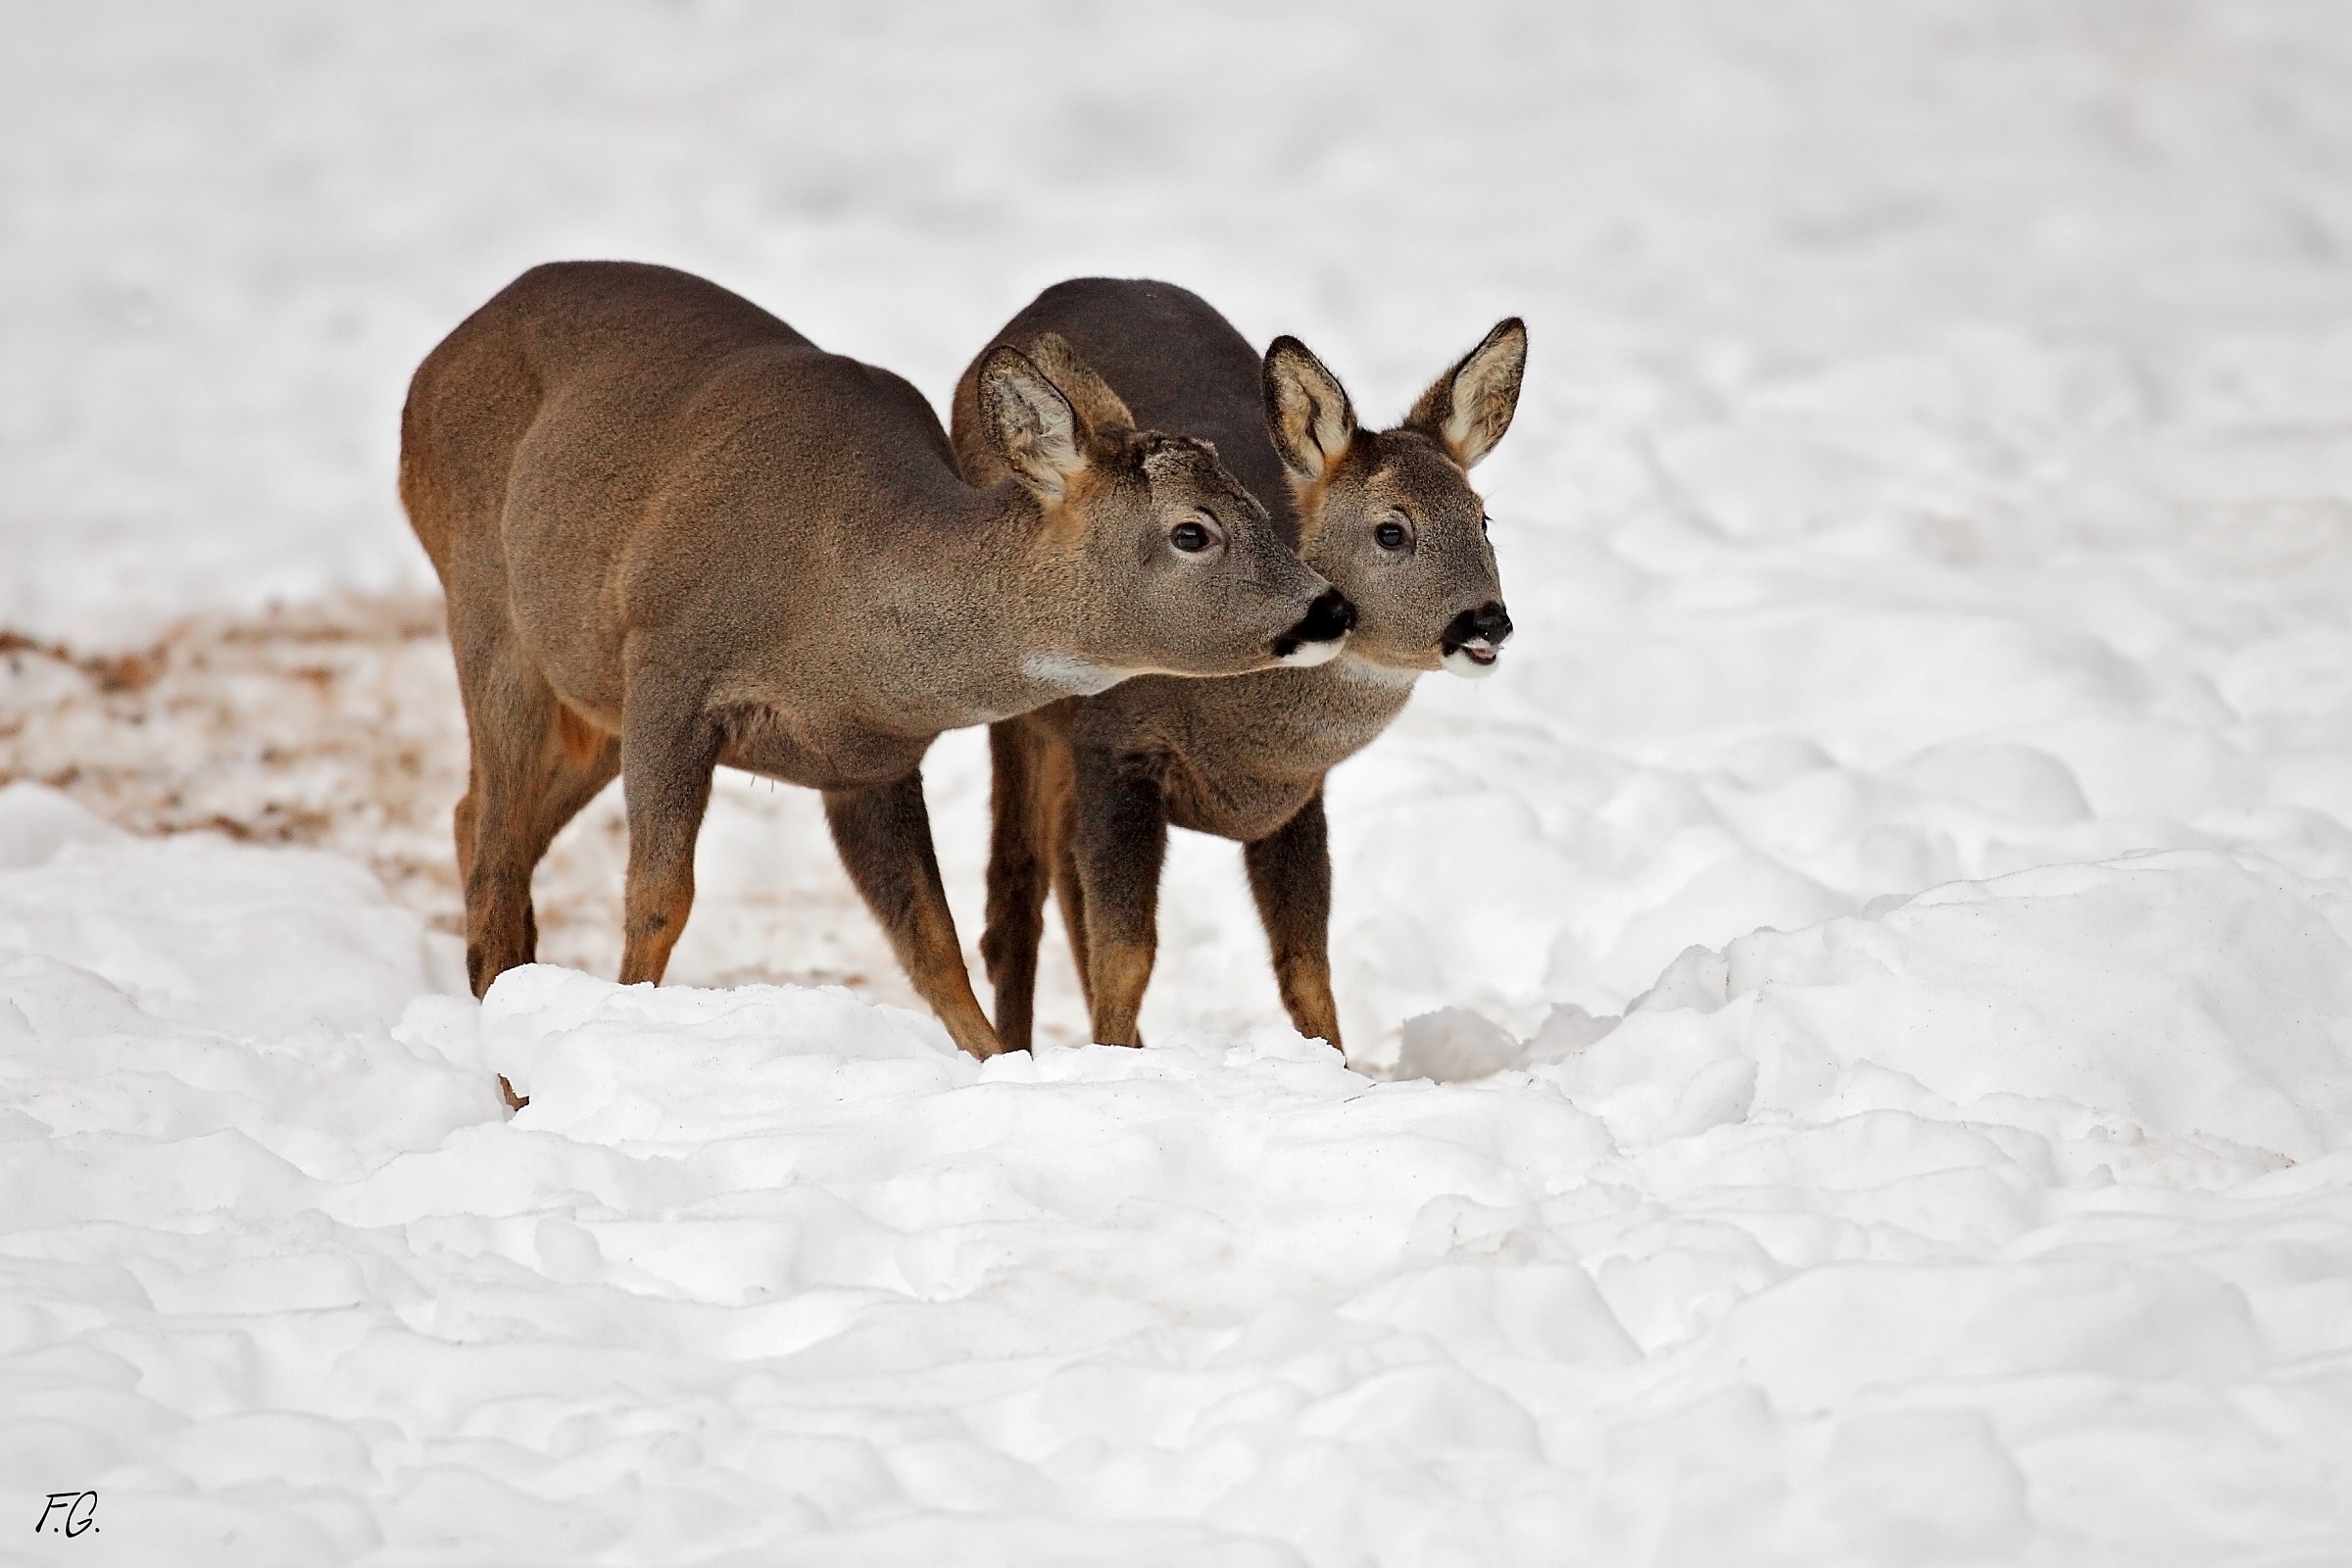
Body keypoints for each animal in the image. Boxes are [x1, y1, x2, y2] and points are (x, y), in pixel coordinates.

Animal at [399, 261, 1354, 1064]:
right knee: (493, 852)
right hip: (488, 605)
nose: (1331, 606)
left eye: (1260, 502)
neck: (837, 604)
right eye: (1193, 531)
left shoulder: (868, 761)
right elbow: (660, 898)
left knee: (477, 819)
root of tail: (433, 362)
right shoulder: (669, 666)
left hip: (587, 690)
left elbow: (930, 944)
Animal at [949, 279, 1524, 1056]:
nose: (1487, 622)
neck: (1246, 735)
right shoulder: (1116, 745)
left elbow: (1305, 965)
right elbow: (1128, 953)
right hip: (1026, 704)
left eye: (1482, 519)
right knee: (1018, 890)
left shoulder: (1298, 799)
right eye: (1391, 530)